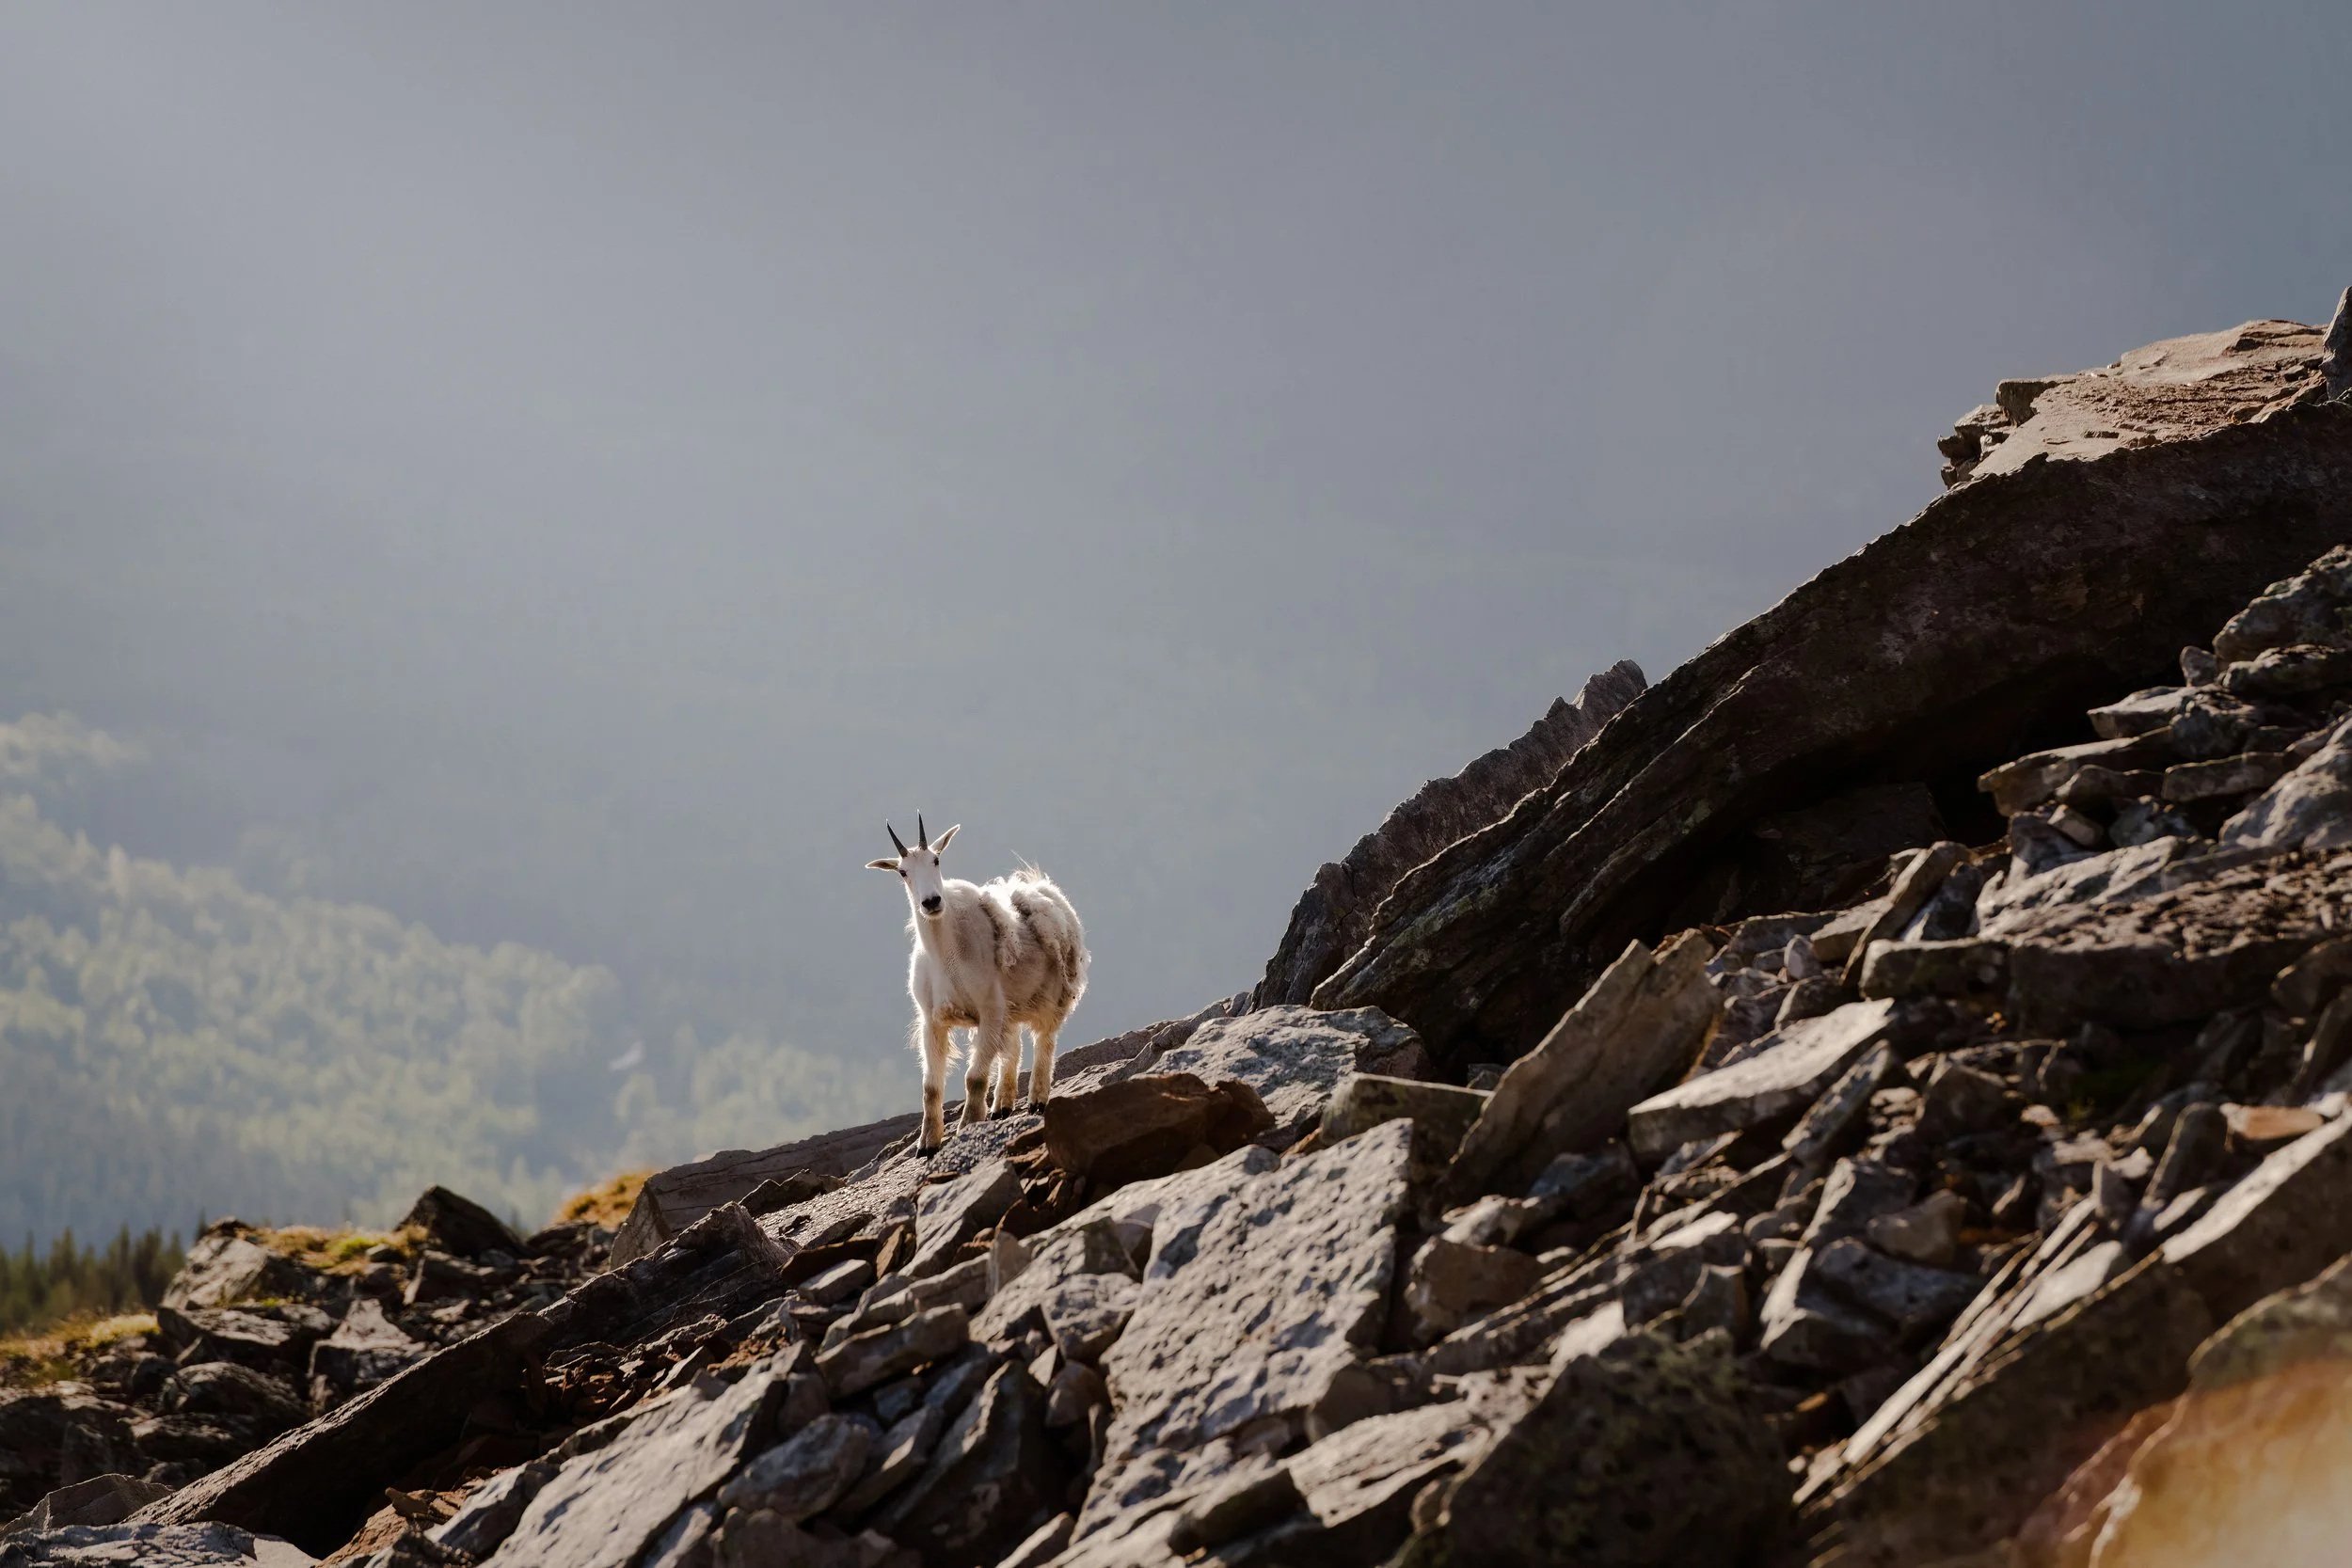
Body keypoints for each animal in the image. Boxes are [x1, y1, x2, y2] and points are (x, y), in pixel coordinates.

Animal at [868, 815, 1089, 1153]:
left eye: (936, 860)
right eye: (903, 872)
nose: (931, 902)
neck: (946, 955)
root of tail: (1044, 888)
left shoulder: (988, 1009)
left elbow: (974, 1078)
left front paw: (968, 1126)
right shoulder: (932, 1020)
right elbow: (930, 1087)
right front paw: (927, 1143)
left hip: (1052, 995)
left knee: (1044, 1041)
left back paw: (1037, 1100)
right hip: (1010, 1009)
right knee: (1014, 1047)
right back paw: (1001, 1107)